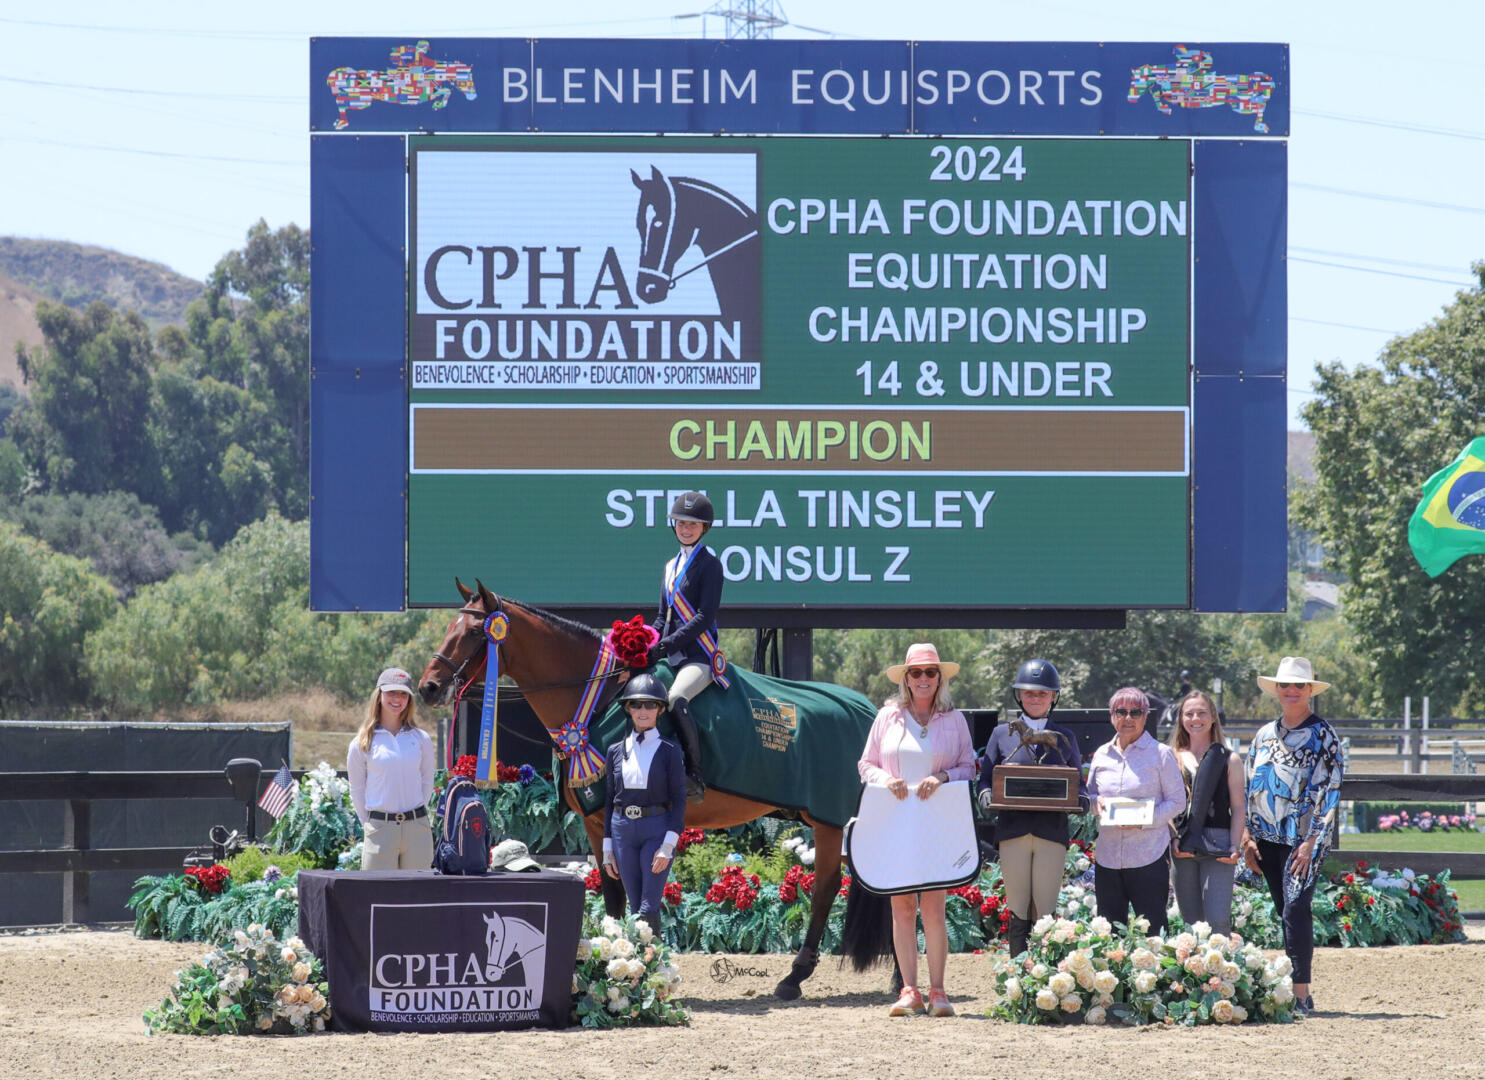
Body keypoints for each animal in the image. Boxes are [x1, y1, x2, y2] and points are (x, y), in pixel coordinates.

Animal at [418, 582, 885, 998]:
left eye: (474, 632)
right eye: (451, 627)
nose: (429, 687)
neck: (600, 698)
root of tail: (867, 708)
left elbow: (639, 892)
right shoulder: (599, 822)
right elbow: (612, 893)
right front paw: (613, 959)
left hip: (828, 820)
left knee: (827, 888)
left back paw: (798, 977)